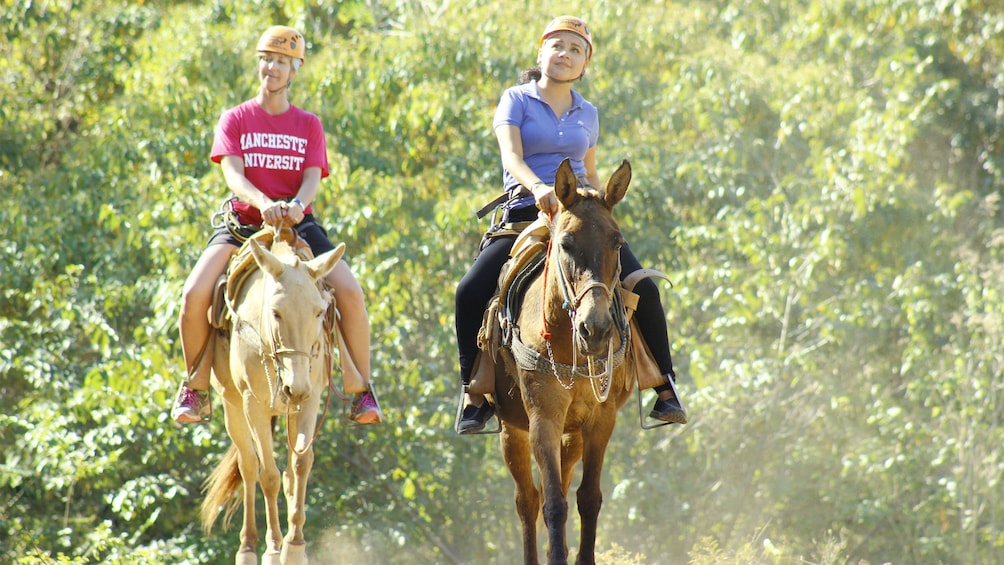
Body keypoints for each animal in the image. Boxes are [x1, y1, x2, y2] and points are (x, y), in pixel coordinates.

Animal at [199, 232, 345, 565]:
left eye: (319, 312)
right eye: (276, 312)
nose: (295, 387)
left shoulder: (310, 399)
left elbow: (301, 463)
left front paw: (295, 545)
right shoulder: (253, 404)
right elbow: (268, 475)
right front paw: (275, 547)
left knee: (288, 472)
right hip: (233, 407)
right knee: (249, 466)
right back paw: (248, 547)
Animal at [487, 159, 634, 565]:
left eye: (617, 243)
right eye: (566, 244)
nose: (595, 329)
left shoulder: (600, 420)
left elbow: (588, 498)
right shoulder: (543, 419)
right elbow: (552, 502)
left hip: (573, 434)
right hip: (513, 431)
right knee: (527, 501)